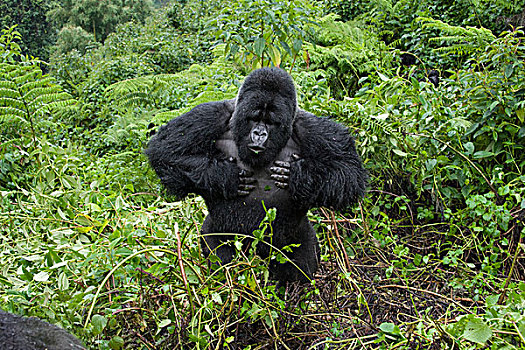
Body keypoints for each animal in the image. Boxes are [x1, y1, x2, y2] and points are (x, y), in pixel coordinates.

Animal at [145, 67, 366, 282]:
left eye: (271, 122)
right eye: (254, 118)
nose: (259, 134)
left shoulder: (313, 128)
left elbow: (349, 172)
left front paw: (299, 176)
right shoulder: (211, 114)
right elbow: (165, 150)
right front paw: (225, 175)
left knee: (303, 265)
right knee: (221, 261)